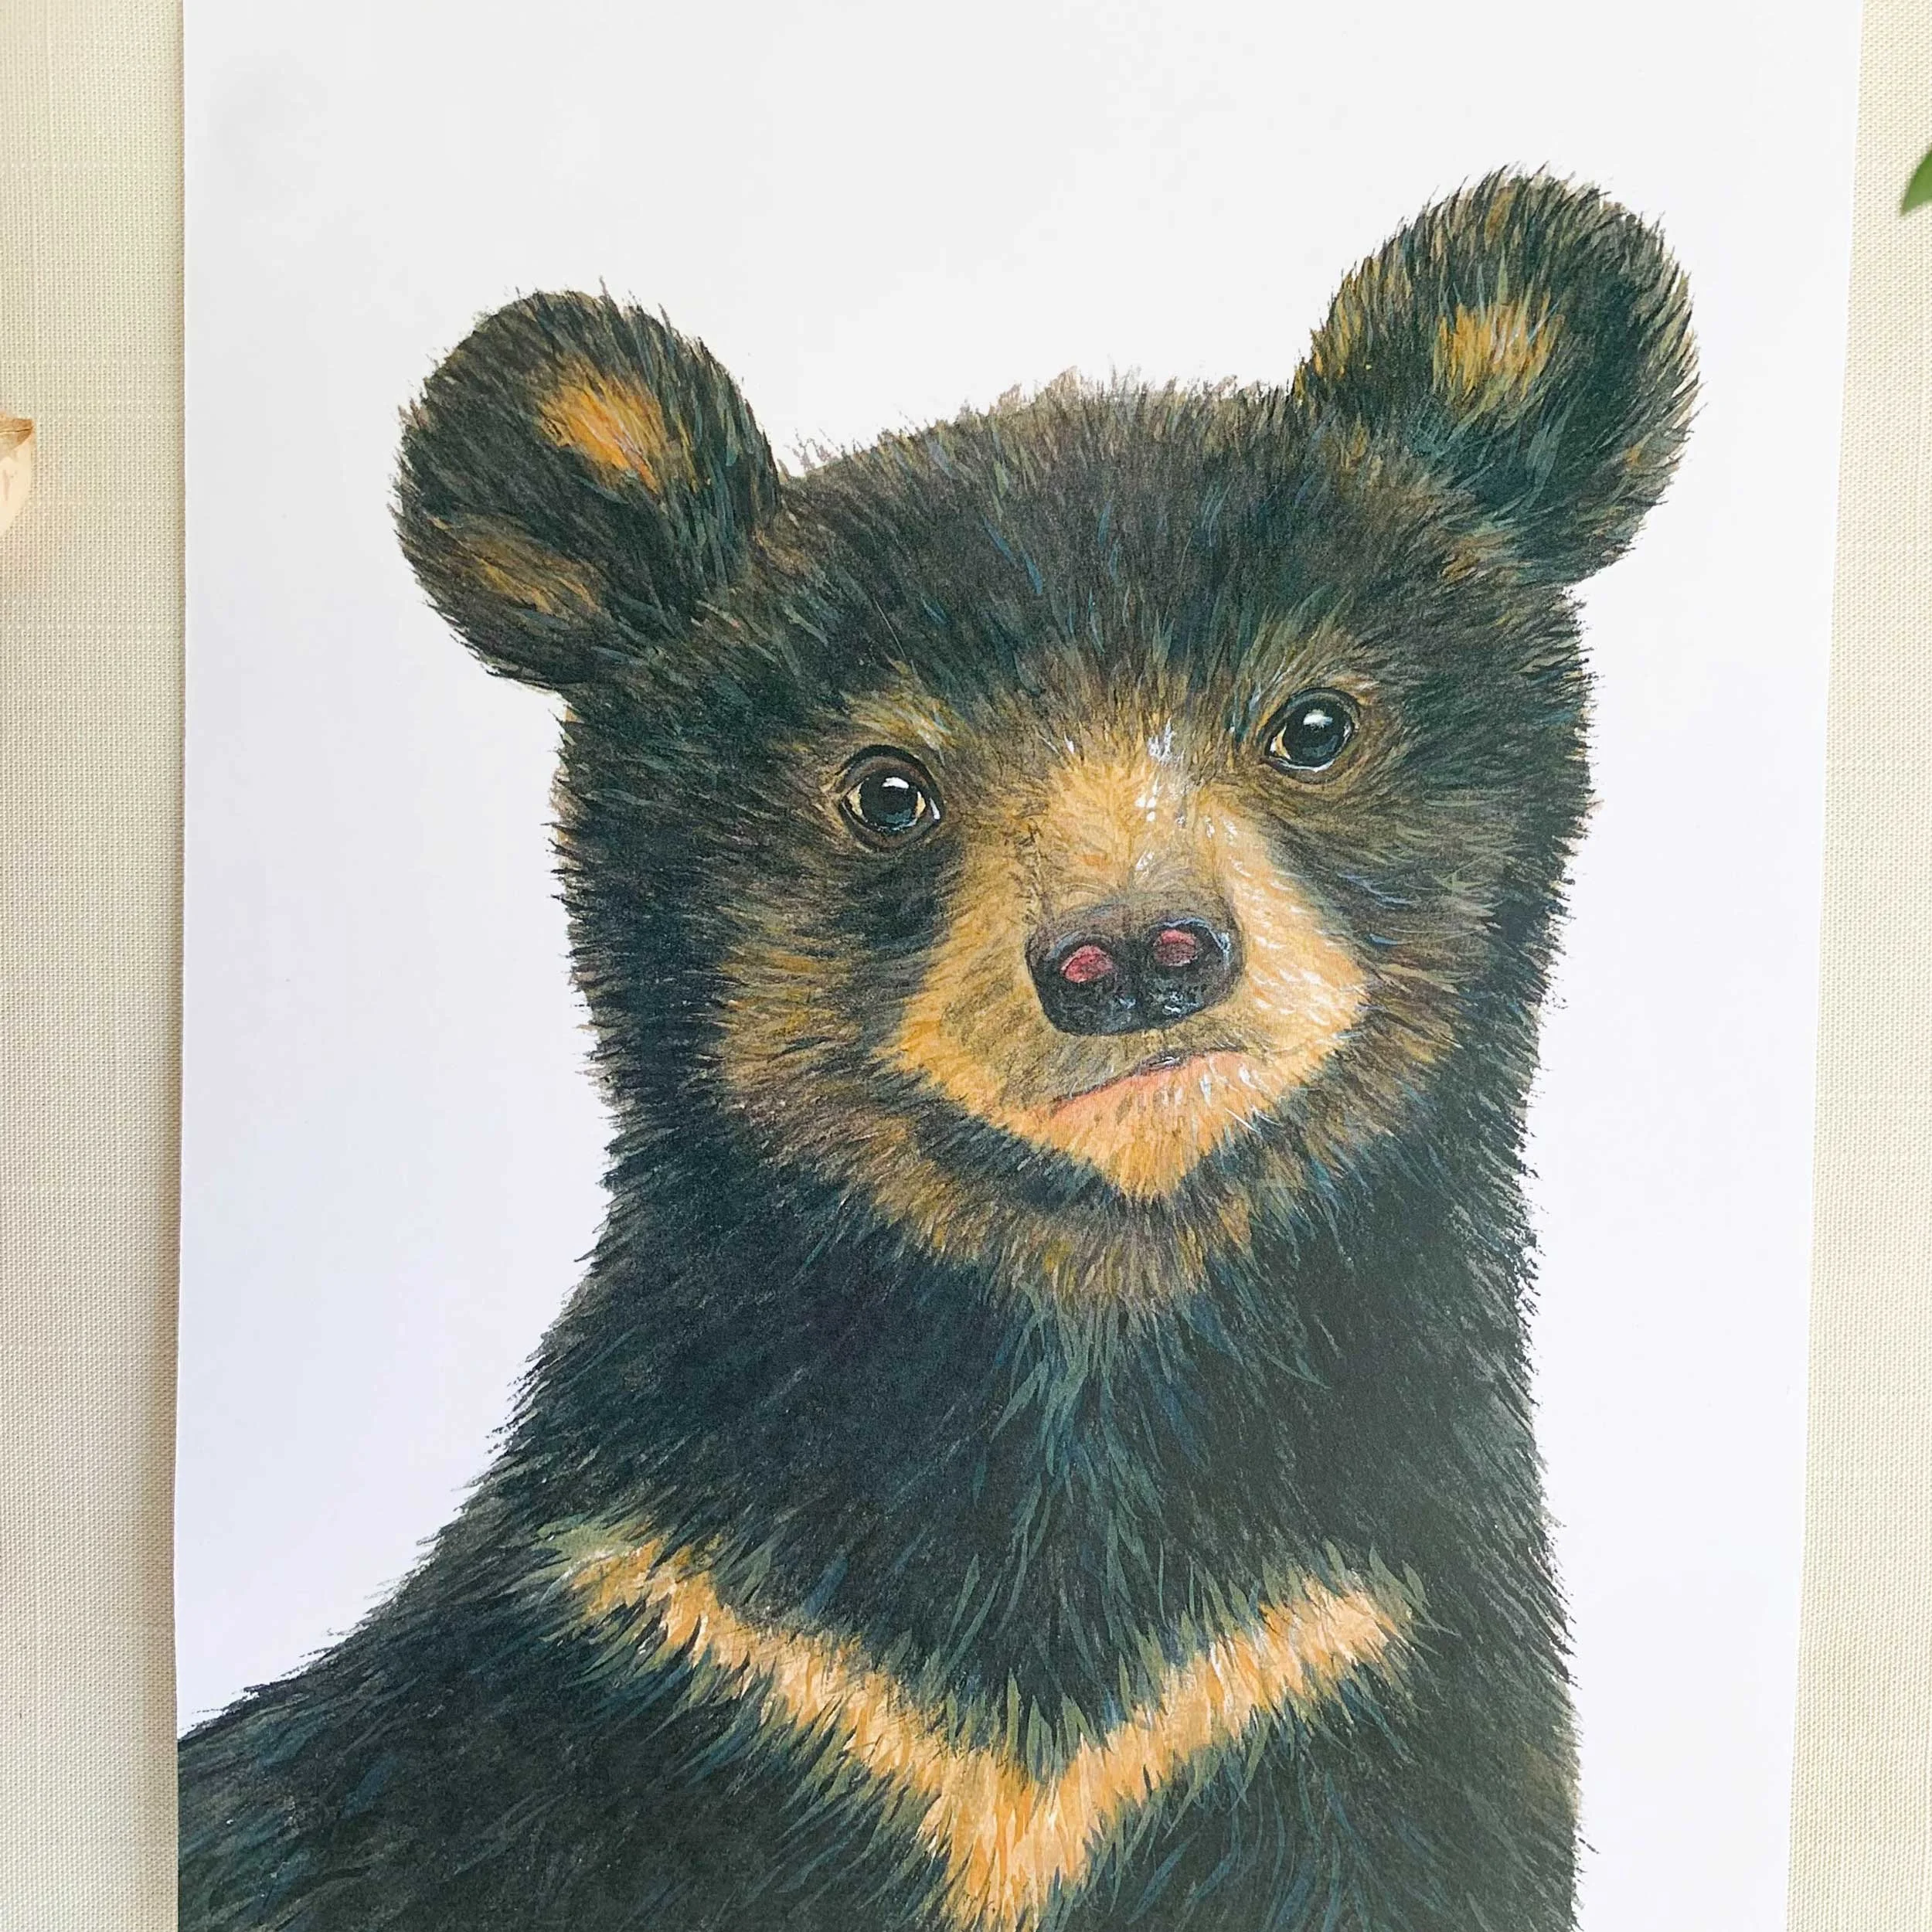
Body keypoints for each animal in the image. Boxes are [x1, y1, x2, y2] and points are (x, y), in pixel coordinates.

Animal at [179, 170, 1695, 1932]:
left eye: (1312, 723)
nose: (1133, 951)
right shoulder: (672, 1658)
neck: (1079, 1369)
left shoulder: (1349, 1678)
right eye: (886, 788)